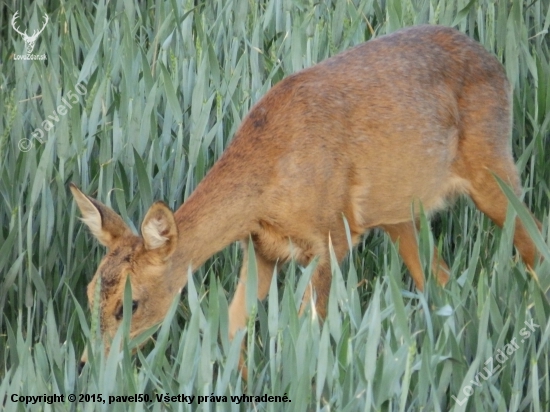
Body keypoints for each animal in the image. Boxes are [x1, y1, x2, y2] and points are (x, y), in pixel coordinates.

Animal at [71, 25, 540, 374]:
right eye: (90, 291)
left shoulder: (333, 236)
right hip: (400, 214)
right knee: (438, 281)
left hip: (494, 168)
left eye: (129, 304)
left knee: (534, 240)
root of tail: (495, 60)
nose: (85, 364)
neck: (269, 183)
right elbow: (235, 324)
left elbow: (306, 330)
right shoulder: (261, 248)